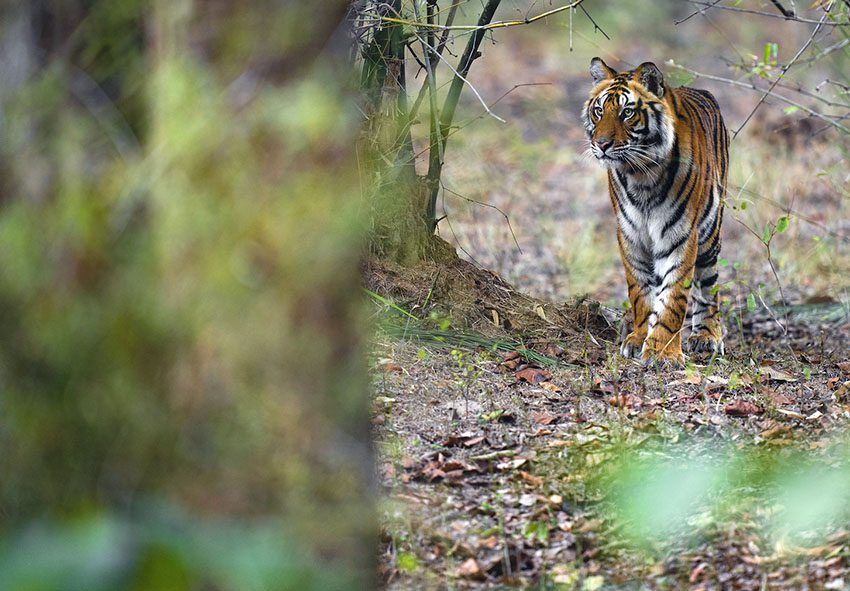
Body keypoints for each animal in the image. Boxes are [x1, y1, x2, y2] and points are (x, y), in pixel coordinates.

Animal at [580, 59, 724, 366]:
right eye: (599, 111)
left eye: (627, 112)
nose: (601, 144)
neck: (640, 174)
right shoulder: (630, 235)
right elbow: (640, 292)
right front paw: (638, 338)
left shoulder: (681, 235)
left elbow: (674, 297)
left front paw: (663, 352)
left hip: (710, 235)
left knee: (709, 285)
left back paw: (707, 336)